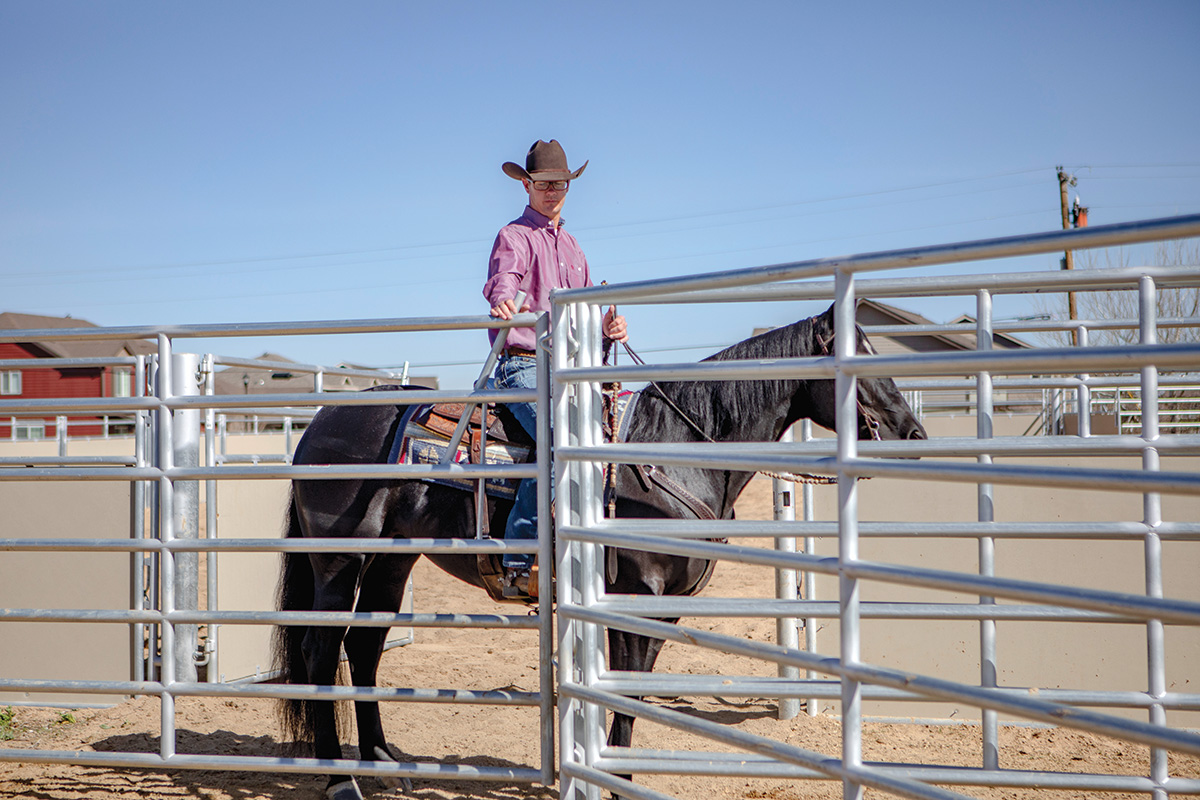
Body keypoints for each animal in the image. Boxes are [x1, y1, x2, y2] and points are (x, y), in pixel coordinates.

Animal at [274, 302, 926, 800]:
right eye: (861, 357)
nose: (914, 433)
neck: (665, 456)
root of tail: (320, 424)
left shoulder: (664, 608)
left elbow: (631, 693)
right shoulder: (632, 597)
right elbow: (627, 692)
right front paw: (617, 781)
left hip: (392, 559)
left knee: (363, 647)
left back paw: (383, 759)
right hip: (338, 559)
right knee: (319, 650)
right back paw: (339, 779)